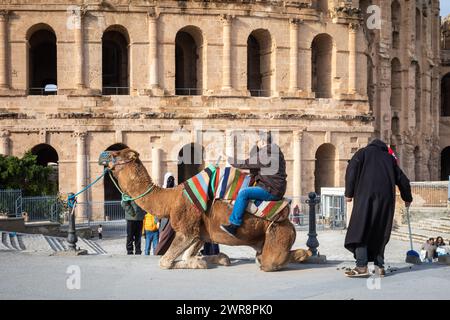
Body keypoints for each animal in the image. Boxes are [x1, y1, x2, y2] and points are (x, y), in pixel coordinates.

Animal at [100, 148, 312, 270]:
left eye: (115, 154)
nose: (101, 156)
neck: (171, 199)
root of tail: (288, 220)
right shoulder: (200, 232)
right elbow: (191, 255)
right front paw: (217, 259)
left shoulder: (186, 229)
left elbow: (165, 262)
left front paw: (201, 261)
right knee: (263, 256)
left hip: (278, 233)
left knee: (271, 261)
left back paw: (303, 255)